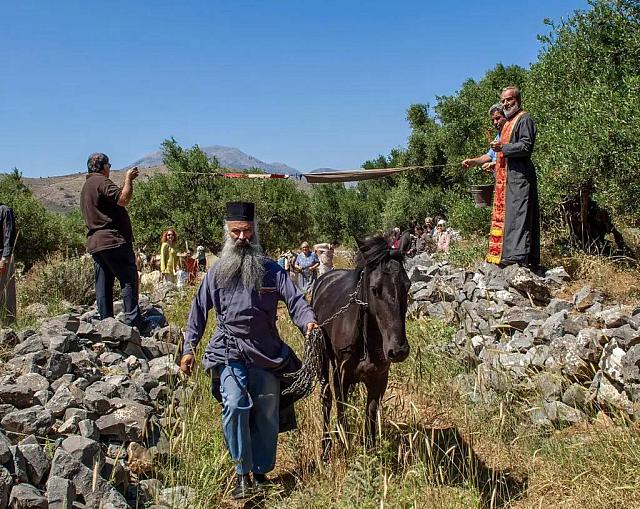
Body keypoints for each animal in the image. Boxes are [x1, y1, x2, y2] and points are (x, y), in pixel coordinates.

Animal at [312, 234, 412, 448]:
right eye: (374, 289)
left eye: (407, 285)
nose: (398, 350)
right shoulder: (341, 376)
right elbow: (341, 407)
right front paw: (343, 440)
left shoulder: (378, 380)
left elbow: (370, 415)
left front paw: (369, 448)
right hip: (323, 358)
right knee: (326, 397)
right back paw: (326, 443)